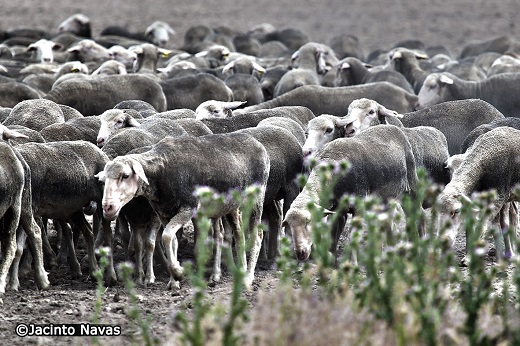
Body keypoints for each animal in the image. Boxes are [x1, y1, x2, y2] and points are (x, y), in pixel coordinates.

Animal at [96, 132, 272, 290]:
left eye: (125, 175)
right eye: (103, 180)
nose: (108, 207)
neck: (161, 172)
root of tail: (259, 144)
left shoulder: (188, 208)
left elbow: (166, 236)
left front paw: (178, 272)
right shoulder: (164, 213)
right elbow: (172, 240)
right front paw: (173, 281)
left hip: (257, 197)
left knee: (257, 236)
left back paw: (248, 277)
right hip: (231, 205)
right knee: (239, 234)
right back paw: (239, 272)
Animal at [282, 124, 416, 260]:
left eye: (308, 222)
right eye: (289, 225)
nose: (300, 253)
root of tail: (393, 127)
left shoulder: (359, 206)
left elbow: (353, 238)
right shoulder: (338, 210)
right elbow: (333, 236)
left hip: (411, 186)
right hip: (384, 200)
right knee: (388, 224)